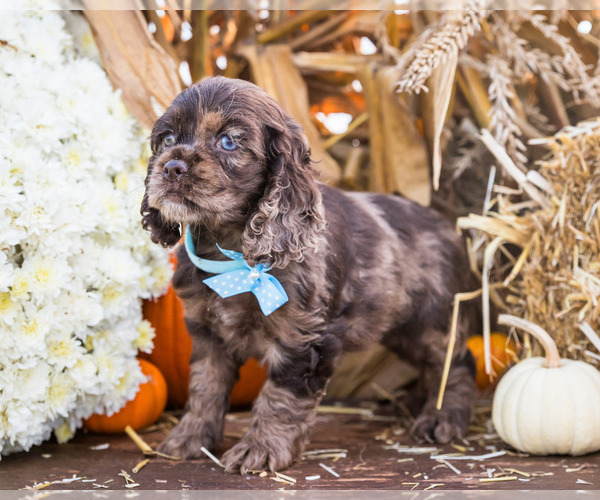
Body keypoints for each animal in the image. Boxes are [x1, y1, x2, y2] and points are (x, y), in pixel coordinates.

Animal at [143, 76, 476, 474]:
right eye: (166, 139)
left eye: (228, 141)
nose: (172, 167)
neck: (236, 253)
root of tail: (449, 226)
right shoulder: (209, 336)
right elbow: (204, 387)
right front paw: (190, 438)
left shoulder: (302, 341)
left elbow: (280, 398)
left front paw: (260, 449)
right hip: (401, 330)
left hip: (432, 321)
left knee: (455, 362)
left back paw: (442, 417)